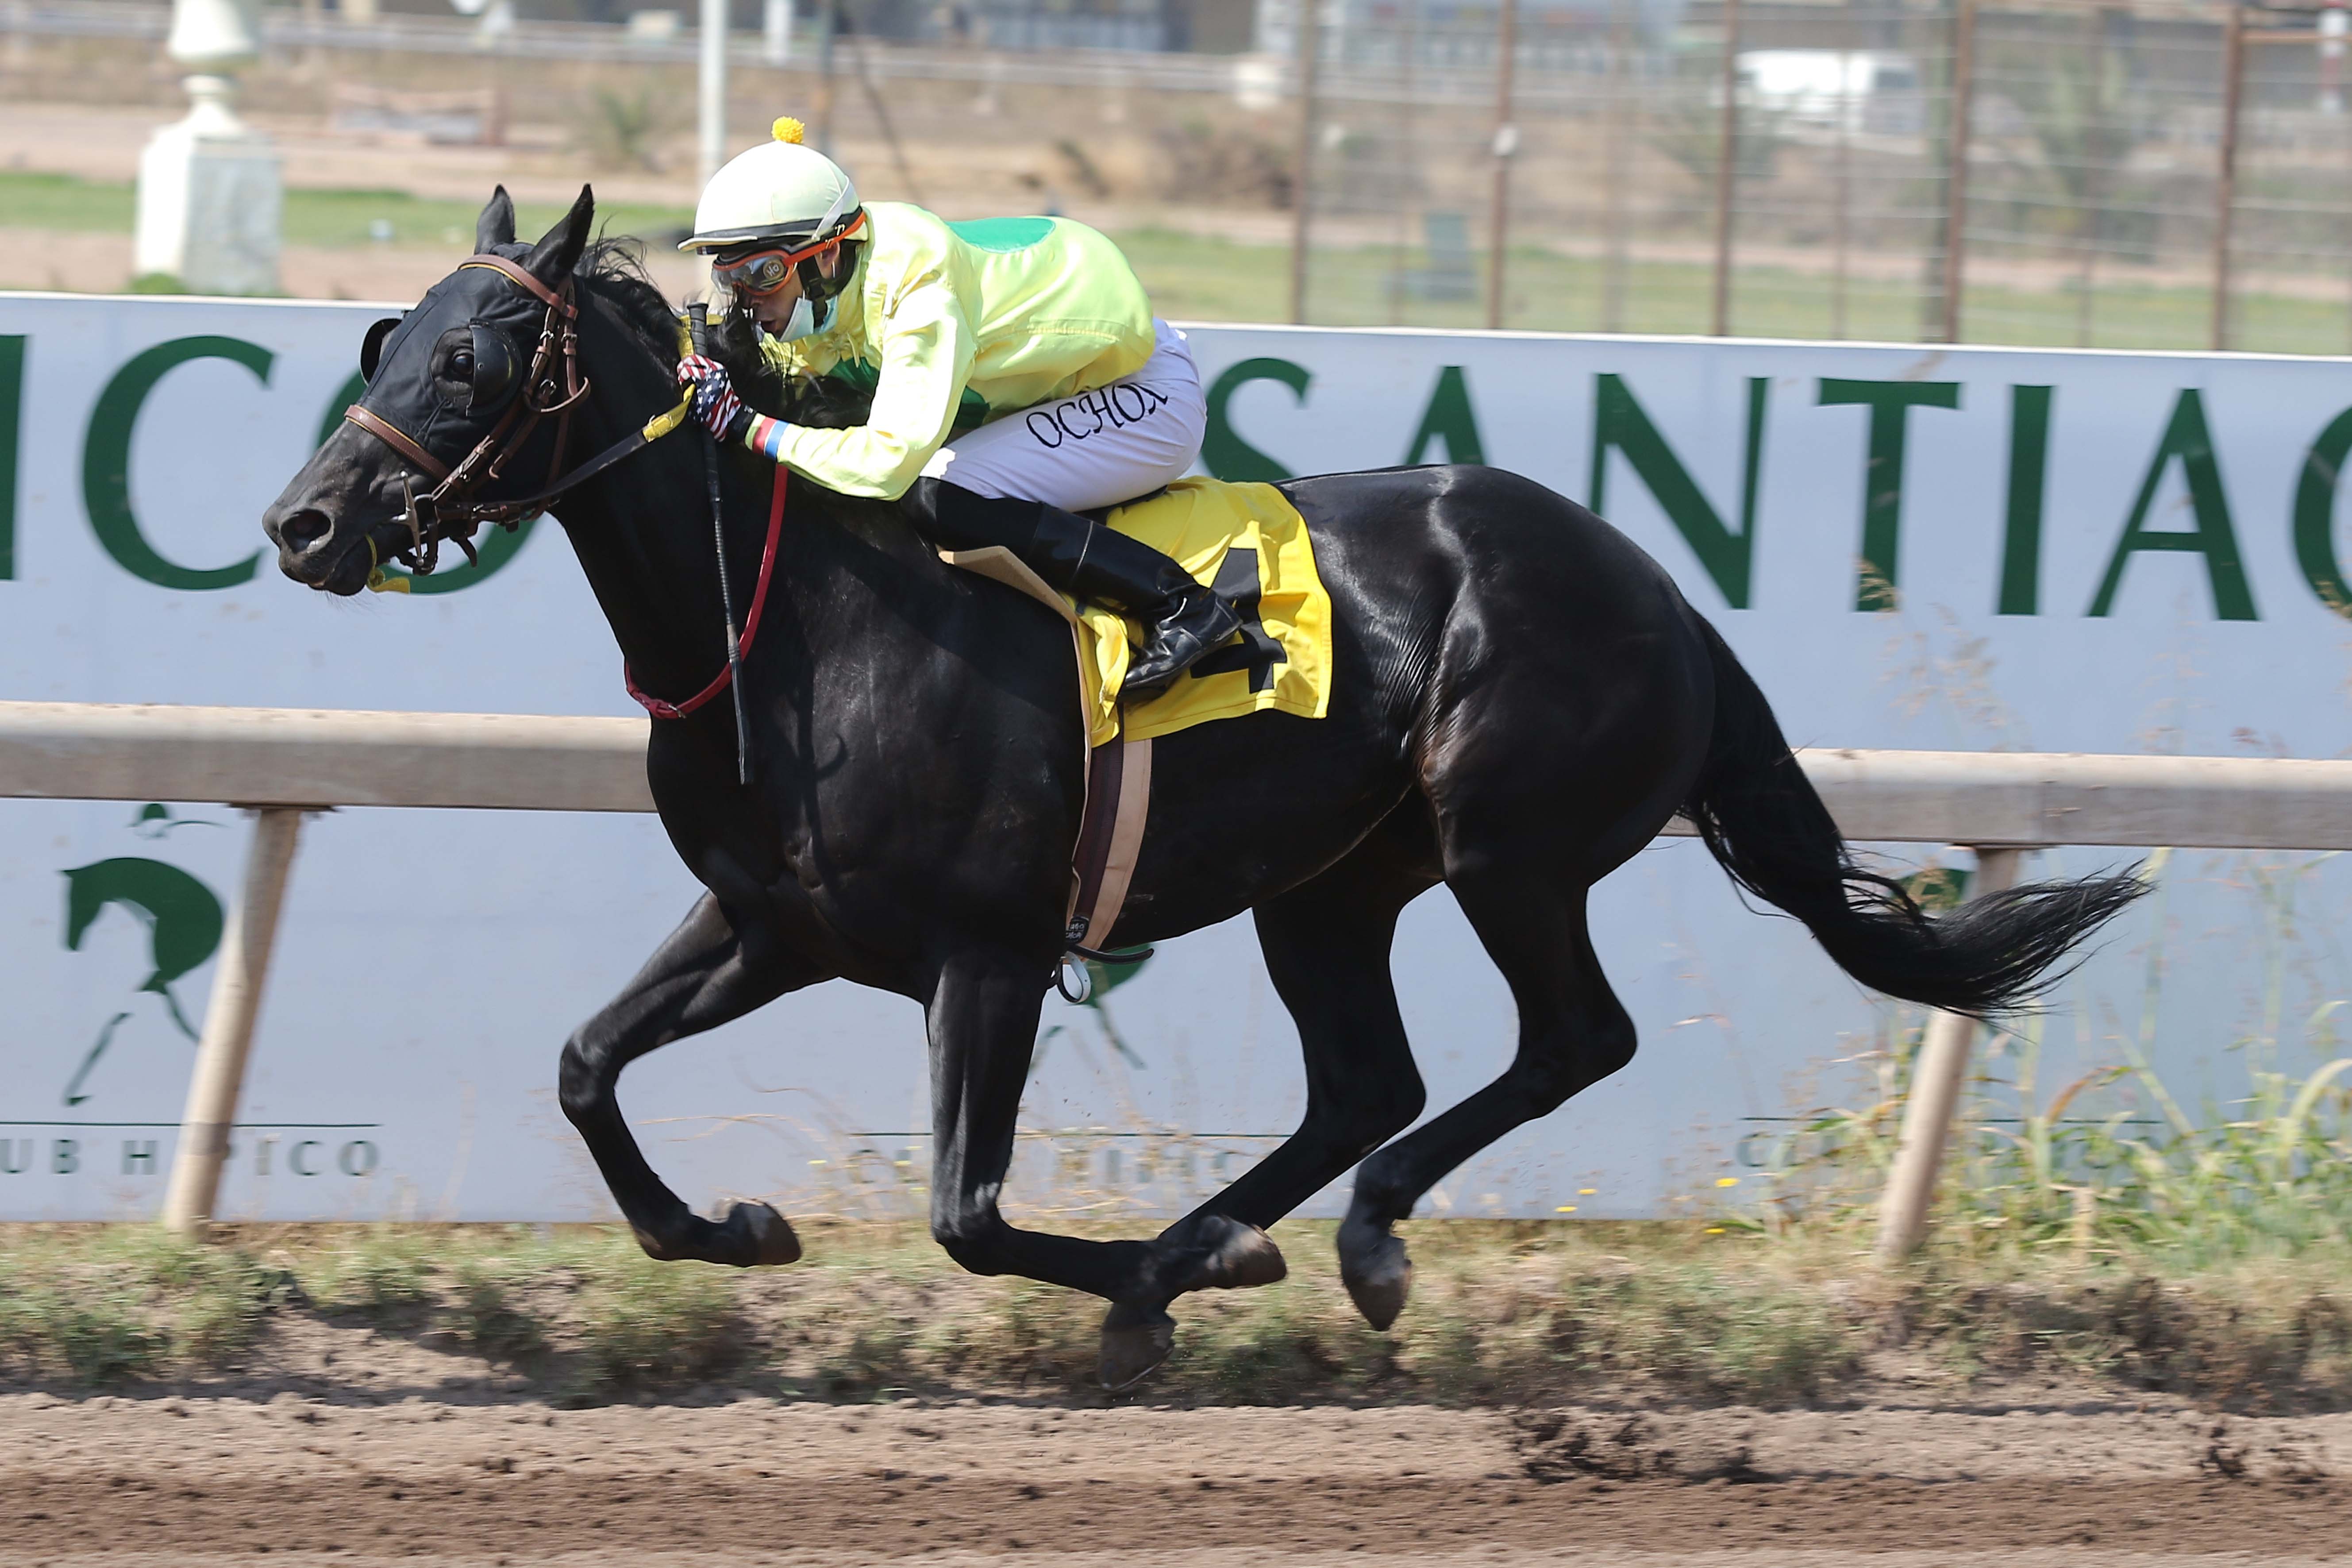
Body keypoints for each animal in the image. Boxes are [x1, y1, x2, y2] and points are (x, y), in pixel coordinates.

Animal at [261, 187, 2146, 1387]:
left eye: (474, 359)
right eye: (385, 334)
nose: (304, 521)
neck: (788, 620)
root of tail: (1662, 588)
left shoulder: (987, 952)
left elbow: (966, 1214)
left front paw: (1171, 1279)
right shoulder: (774, 924)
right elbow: (587, 1070)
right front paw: (732, 1228)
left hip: (1508, 841)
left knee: (1568, 1040)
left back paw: (1328, 1243)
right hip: (1331, 886)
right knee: (1368, 1081)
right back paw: (1236, 1235)